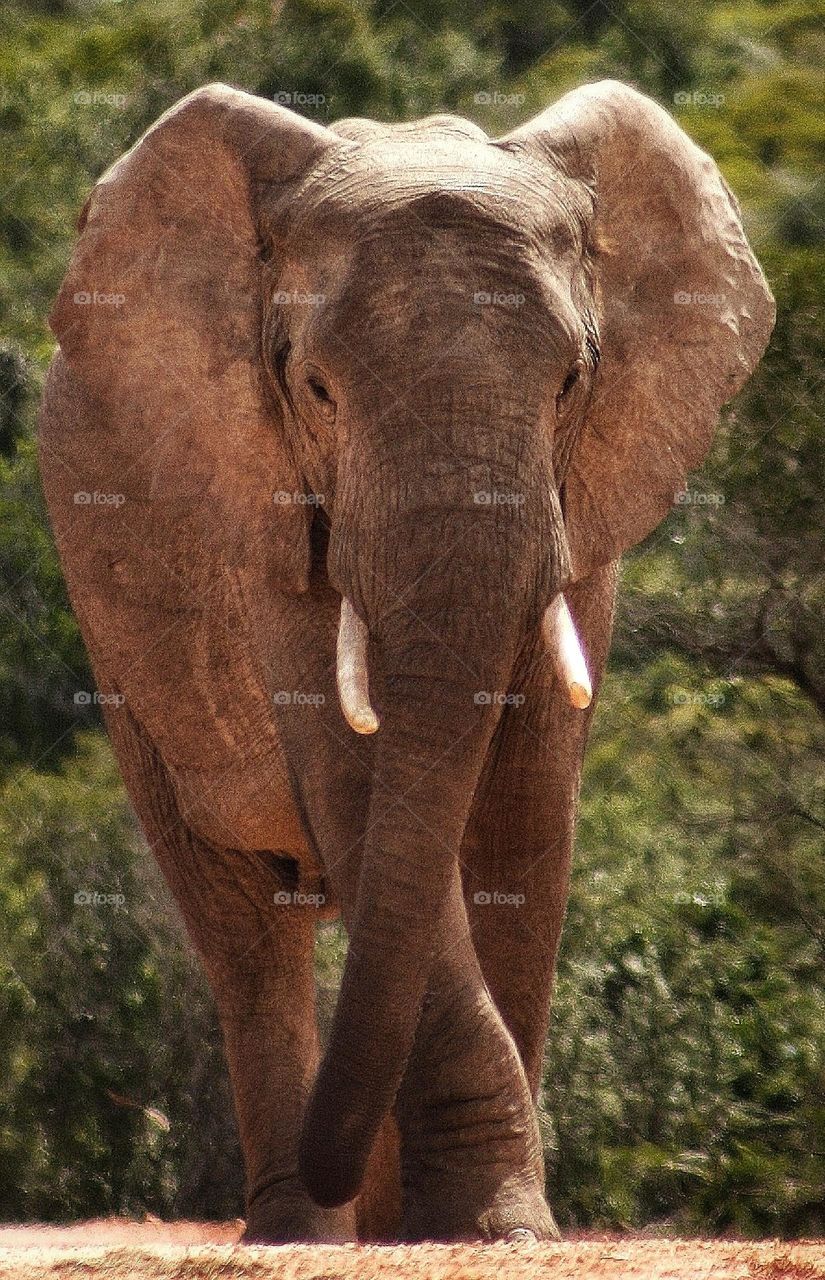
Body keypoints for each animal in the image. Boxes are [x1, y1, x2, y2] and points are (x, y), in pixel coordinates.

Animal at [38, 77, 772, 1239]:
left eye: (573, 382)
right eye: (316, 389)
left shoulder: (586, 502)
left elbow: (524, 822)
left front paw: (491, 1224)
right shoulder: (258, 486)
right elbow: (358, 776)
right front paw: (476, 1219)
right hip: (114, 630)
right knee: (245, 932)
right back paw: (300, 1228)